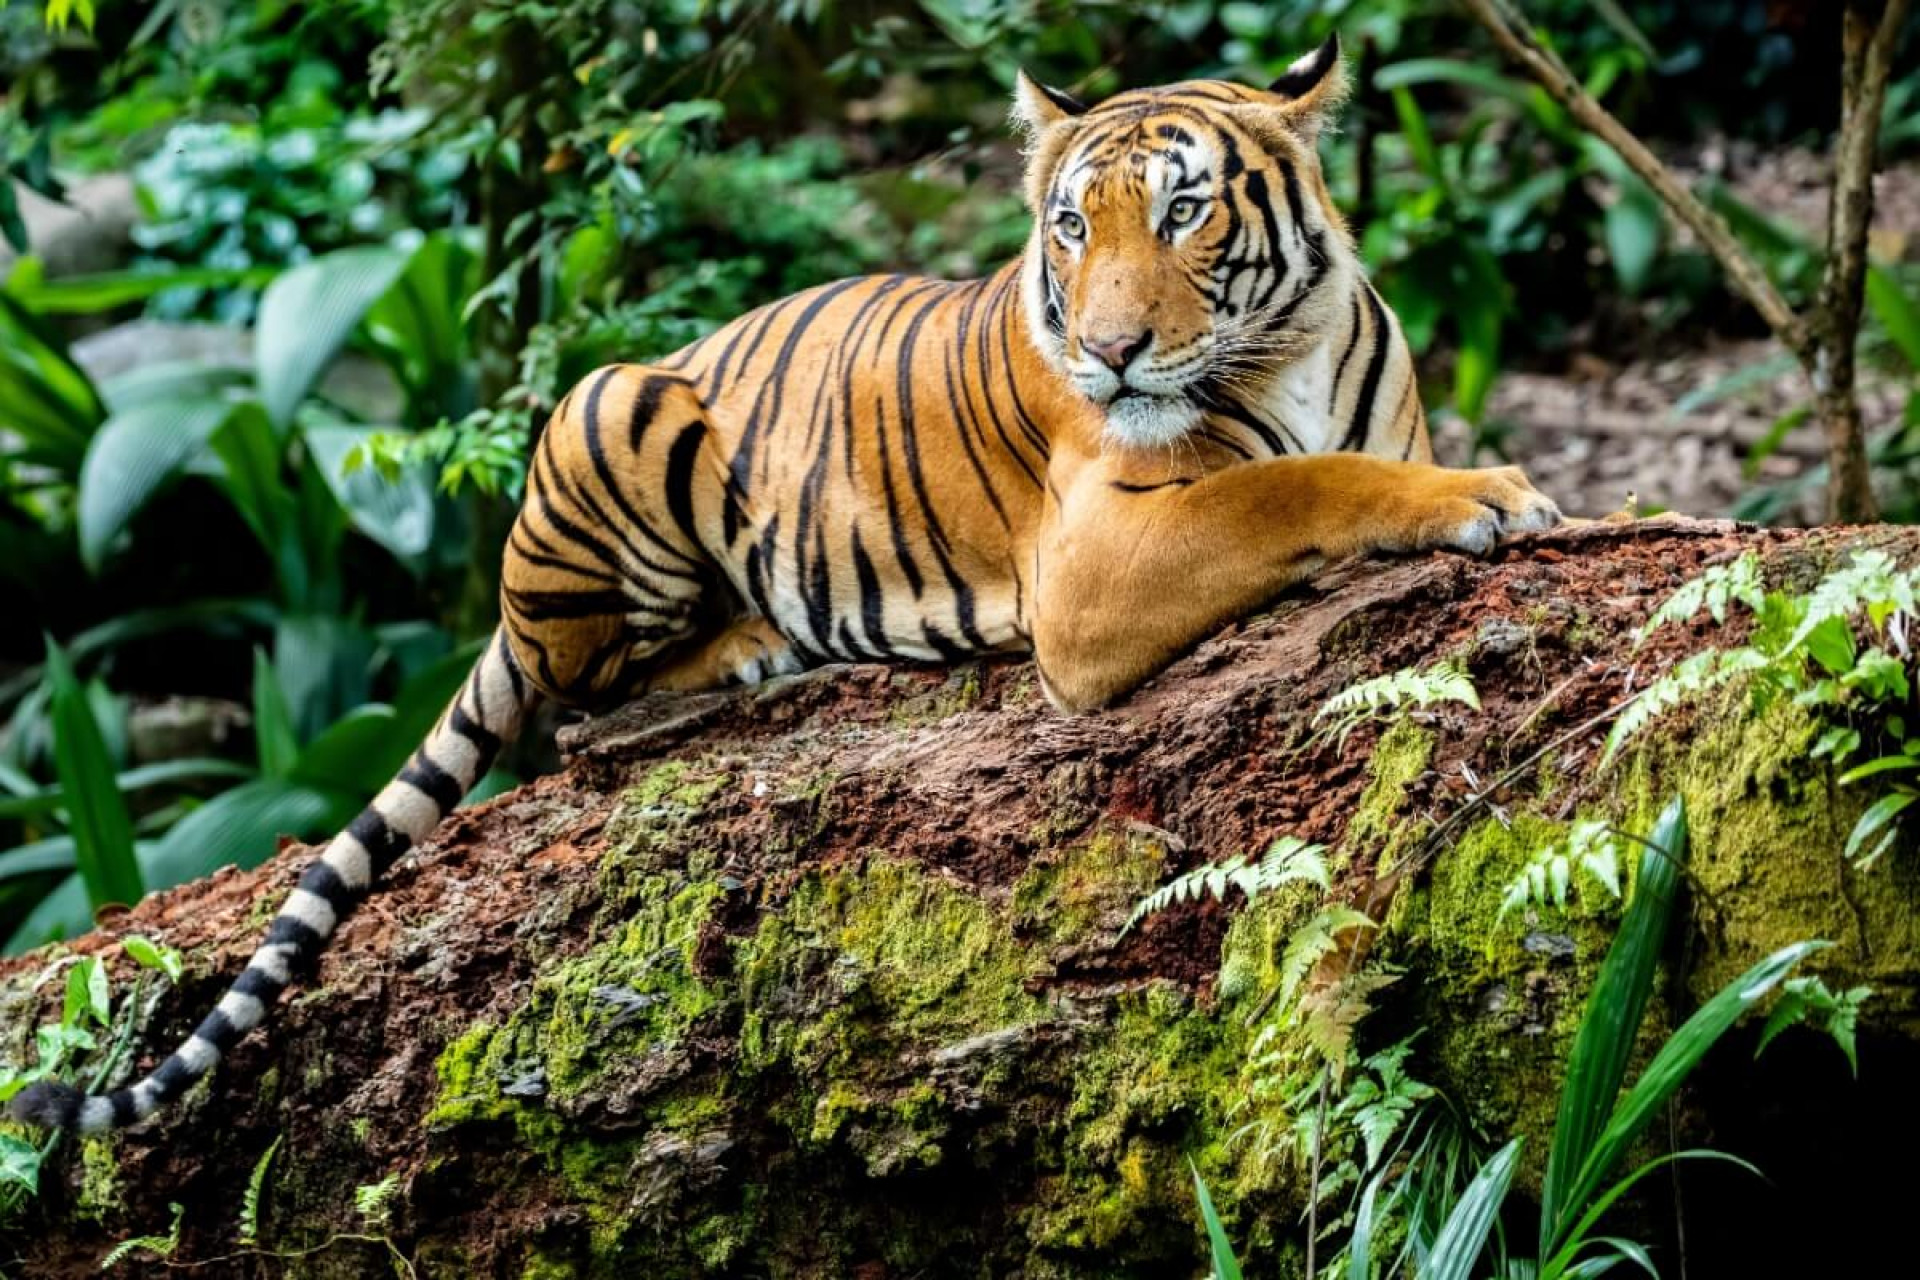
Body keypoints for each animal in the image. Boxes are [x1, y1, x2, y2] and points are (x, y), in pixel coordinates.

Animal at [11, 35, 1558, 1134]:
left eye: (1183, 212)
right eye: (1071, 227)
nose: (1111, 351)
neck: (1286, 345)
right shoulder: (1098, 556)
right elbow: (1290, 486)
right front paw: (1490, 497)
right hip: (613, 410)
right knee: (577, 701)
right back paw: (737, 651)